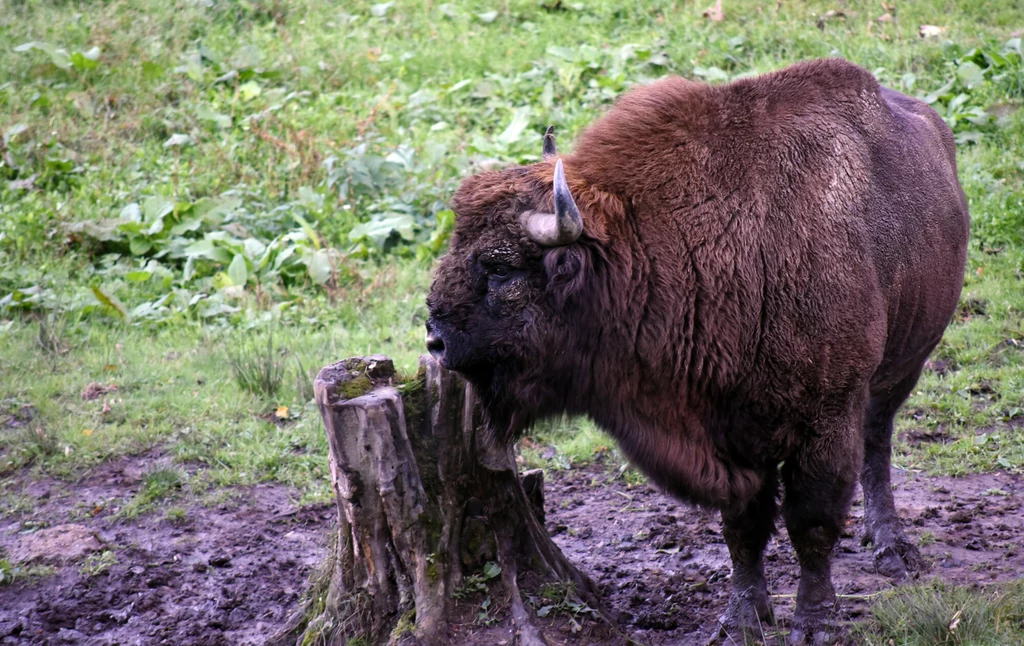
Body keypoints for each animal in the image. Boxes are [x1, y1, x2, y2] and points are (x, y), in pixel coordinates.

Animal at [423, 58, 966, 642]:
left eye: (500, 266)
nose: (434, 338)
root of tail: (931, 124)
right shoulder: (727, 436)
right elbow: (743, 528)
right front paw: (740, 621)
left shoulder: (827, 418)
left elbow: (812, 521)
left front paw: (815, 623)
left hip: (902, 367)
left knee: (877, 442)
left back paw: (891, 548)